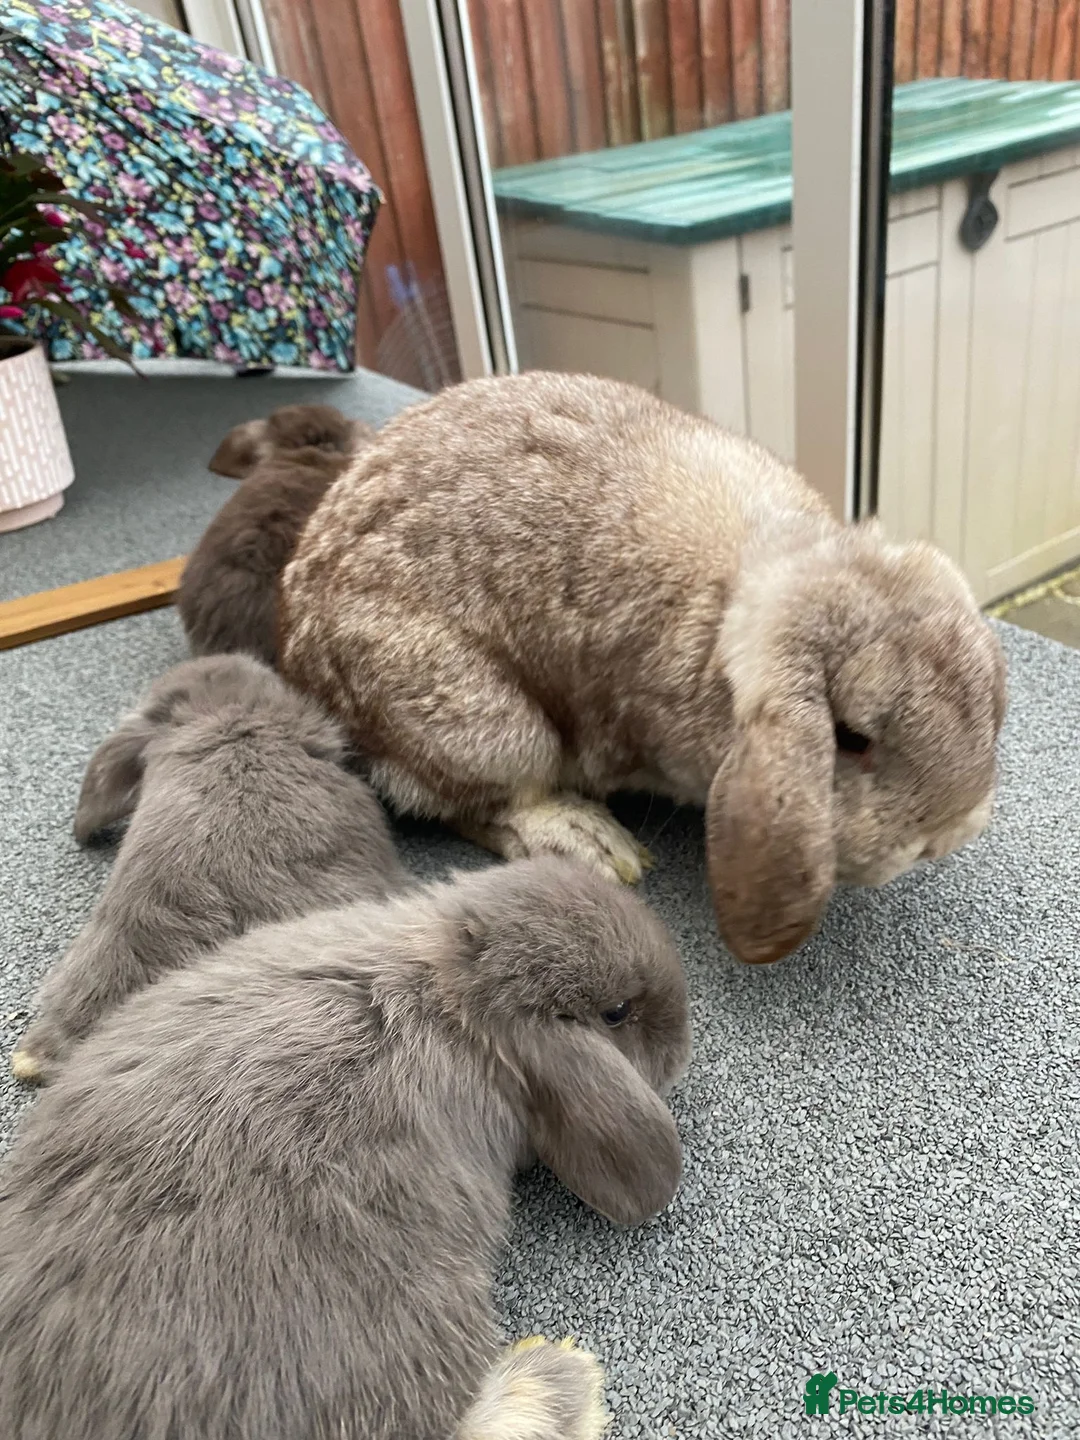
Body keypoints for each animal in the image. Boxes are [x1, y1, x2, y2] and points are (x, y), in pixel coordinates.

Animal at [278, 370, 1007, 967]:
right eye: (851, 737)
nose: (949, 832)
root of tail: (299, 651)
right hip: (482, 724)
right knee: (479, 803)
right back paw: (592, 843)